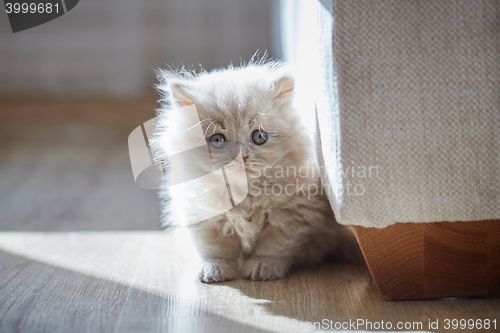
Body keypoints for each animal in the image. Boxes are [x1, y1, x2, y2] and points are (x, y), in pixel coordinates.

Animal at [152, 61, 352, 282]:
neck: (245, 194)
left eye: (259, 137)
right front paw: (215, 269)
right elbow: (216, 249)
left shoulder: (290, 216)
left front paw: (263, 266)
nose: (241, 157)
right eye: (217, 139)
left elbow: (273, 246)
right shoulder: (203, 215)